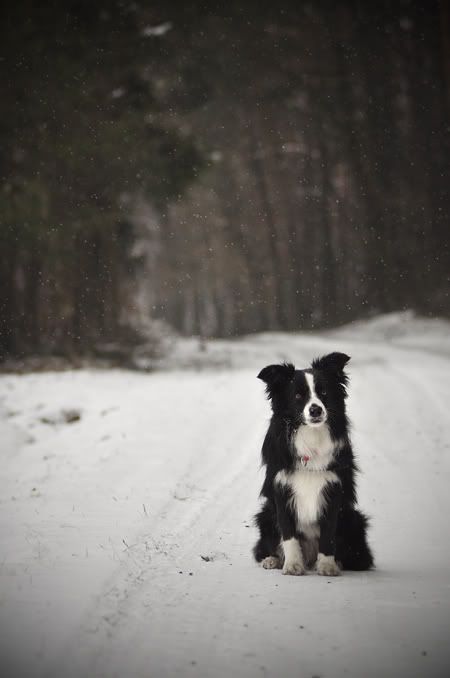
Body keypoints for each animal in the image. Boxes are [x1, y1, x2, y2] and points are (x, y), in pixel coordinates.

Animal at [253, 354, 372, 576]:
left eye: (323, 392)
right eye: (298, 396)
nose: (315, 409)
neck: (311, 435)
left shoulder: (334, 489)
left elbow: (328, 532)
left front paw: (327, 565)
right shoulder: (281, 487)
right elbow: (288, 533)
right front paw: (292, 565)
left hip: (354, 519)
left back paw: (336, 563)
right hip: (264, 515)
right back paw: (272, 560)